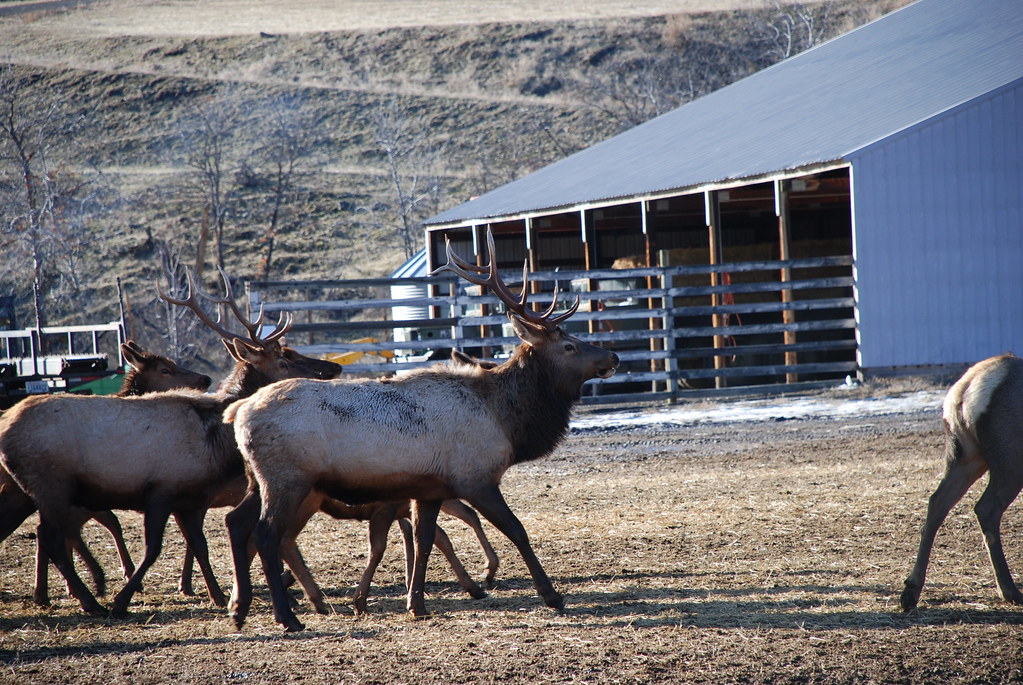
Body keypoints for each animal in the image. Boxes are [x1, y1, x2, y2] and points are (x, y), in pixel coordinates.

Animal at [0, 340, 213, 606]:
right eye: (165, 369)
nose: (205, 379)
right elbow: (108, 523)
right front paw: (124, 577)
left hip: (22, 491)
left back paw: (46, 593)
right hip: (47, 487)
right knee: (47, 532)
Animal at [223, 227, 619, 631]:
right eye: (569, 345)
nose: (614, 356)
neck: (506, 421)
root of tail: (238, 412)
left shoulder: (430, 489)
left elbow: (425, 540)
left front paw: (417, 604)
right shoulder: (476, 478)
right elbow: (517, 530)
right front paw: (552, 595)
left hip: (261, 480)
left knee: (237, 522)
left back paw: (240, 610)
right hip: (287, 479)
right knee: (266, 534)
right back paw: (286, 617)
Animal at [900, 353, 1023, 611]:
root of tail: (965, 388)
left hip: (965, 456)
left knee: (936, 503)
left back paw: (911, 591)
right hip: (1011, 460)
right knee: (986, 508)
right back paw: (1009, 590)